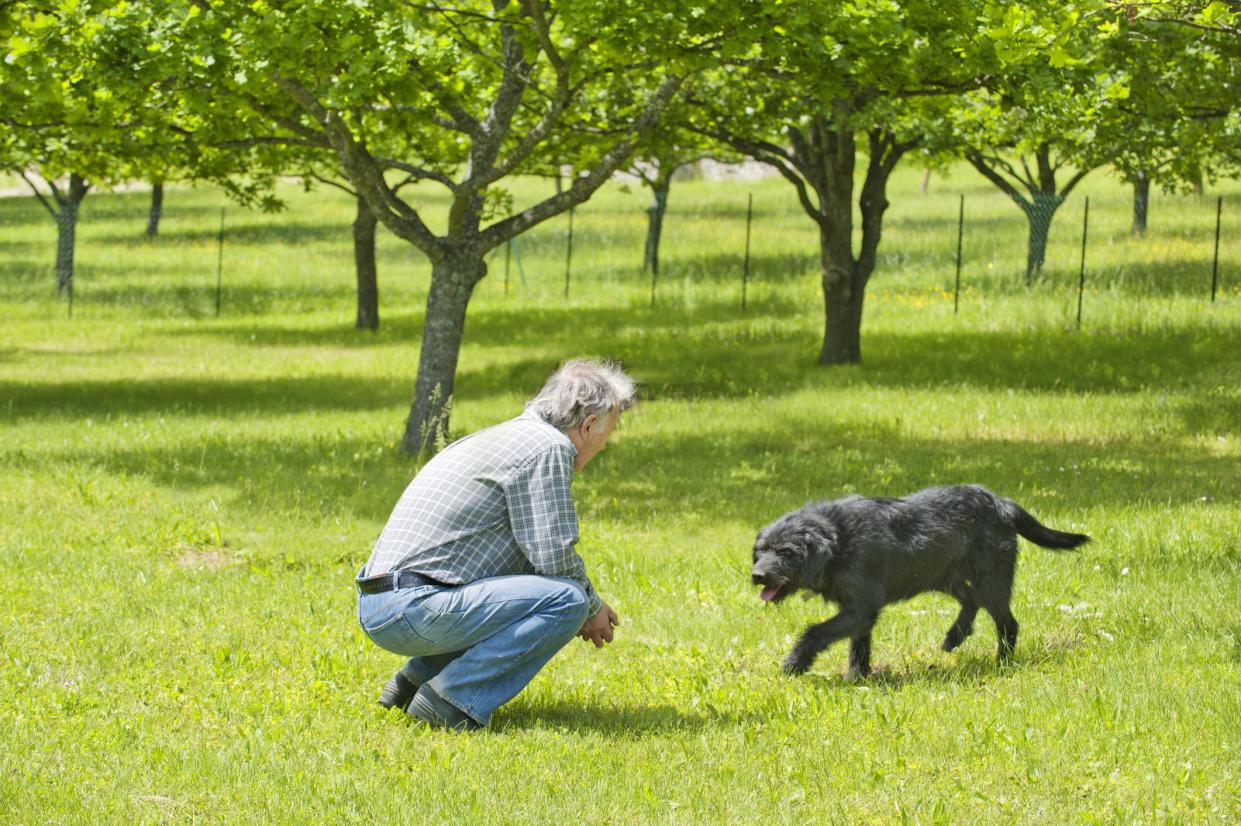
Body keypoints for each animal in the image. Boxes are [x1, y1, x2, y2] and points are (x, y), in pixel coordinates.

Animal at [744, 483, 1087, 674]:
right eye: (761, 550)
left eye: (787, 551)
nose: (757, 575)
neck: (839, 540)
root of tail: (1002, 503)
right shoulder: (859, 612)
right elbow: (858, 645)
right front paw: (858, 677)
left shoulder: (860, 608)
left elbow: (816, 631)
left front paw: (794, 662)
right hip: (946, 576)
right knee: (970, 602)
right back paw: (955, 636)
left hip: (991, 580)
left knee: (1007, 622)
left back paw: (1001, 662)